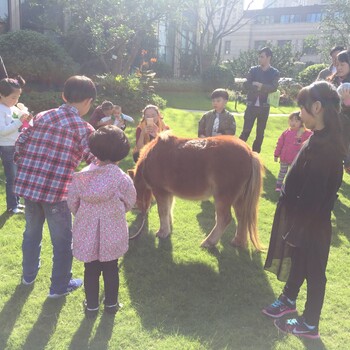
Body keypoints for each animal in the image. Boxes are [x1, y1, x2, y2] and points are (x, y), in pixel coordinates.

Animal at [130, 131, 264, 249]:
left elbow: (162, 211)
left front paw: (163, 232)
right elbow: (168, 209)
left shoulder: (160, 191)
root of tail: (249, 152)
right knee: (242, 217)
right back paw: (238, 241)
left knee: (224, 219)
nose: (136, 209)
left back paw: (209, 242)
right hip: (239, 199)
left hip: (223, 197)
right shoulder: (168, 193)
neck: (150, 157)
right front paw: (168, 226)